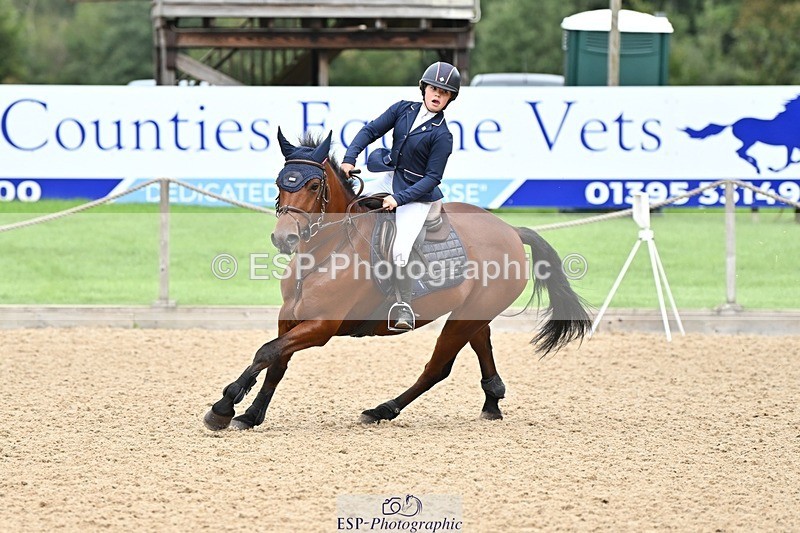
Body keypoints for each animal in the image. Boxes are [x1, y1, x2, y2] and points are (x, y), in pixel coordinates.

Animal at [203, 128, 591, 430]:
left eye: (314, 185)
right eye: (280, 183)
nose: (284, 238)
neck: (324, 252)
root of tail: (510, 230)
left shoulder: (322, 326)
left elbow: (266, 352)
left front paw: (224, 407)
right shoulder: (290, 317)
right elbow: (276, 363)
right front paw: (250, 415)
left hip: (467, 317)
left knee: (436, 368)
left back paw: (382, 410)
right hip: (472, 313)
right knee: (482, 347)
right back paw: (491, 403)